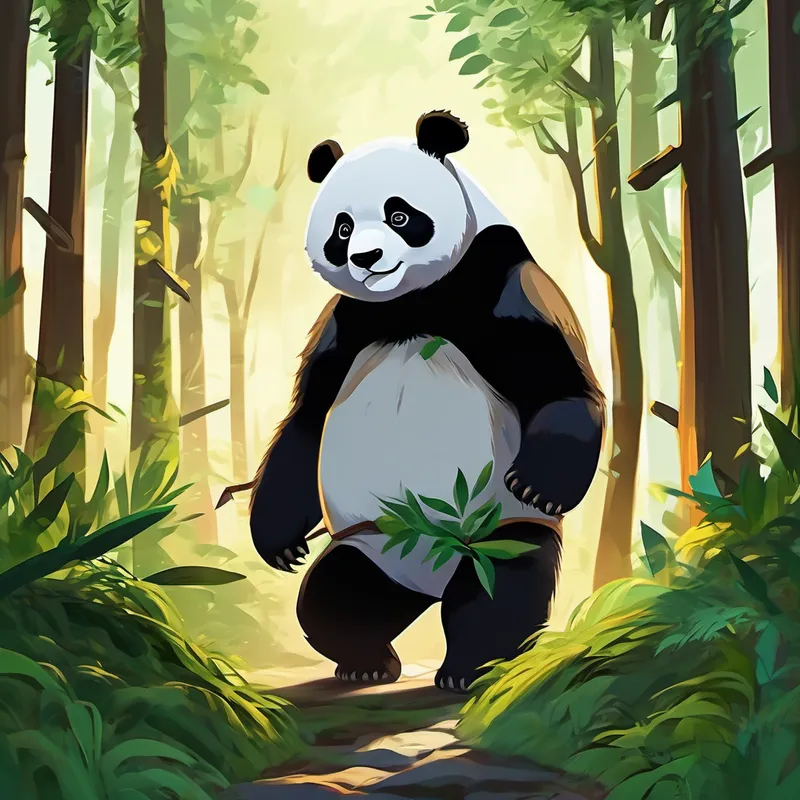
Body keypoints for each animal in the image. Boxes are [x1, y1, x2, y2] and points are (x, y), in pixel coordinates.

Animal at [250, 111, 605, 694]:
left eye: (399, 214)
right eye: (342, 228)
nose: (366, 258)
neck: (412, 301)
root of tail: (429, 575)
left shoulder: (499, 282)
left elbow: (558, 384)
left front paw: (539, 482)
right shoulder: (347, 322)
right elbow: (305, 421)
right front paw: (278, 540)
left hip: (494, 533)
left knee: (500, 589)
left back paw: (471, 668)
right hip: (372, 543)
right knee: (334, 598)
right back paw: (368, 661)